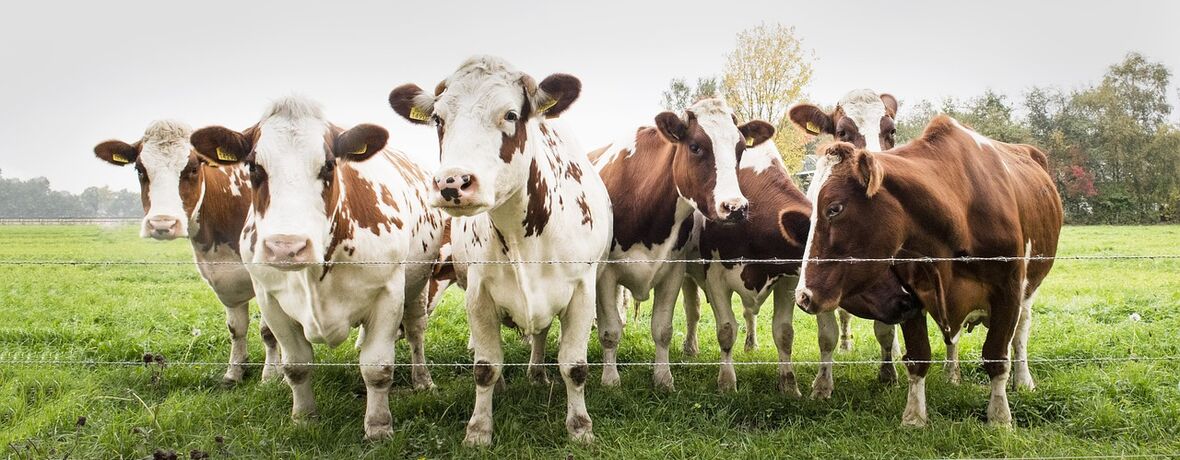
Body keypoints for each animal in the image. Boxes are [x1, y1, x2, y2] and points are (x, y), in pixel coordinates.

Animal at [389, 54, 613, 445]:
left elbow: (574, 366)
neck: (524, 234)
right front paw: (479, 428)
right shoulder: (478, 293)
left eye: (510, 114)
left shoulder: (582, 291)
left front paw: (580, 426)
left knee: (541, 334)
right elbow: (485, 366)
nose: (452, 182)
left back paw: (537, 373)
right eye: (438, 120)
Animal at [590, 99, 774, 389]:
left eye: (741, 149)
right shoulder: (606, 274)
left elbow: (662, 329)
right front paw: (610, 380)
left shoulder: (673, 270)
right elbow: (610, 330)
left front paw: (663, 378)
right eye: (695, 146)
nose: (735, 207)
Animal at [797, 116, 1066, 426]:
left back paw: (1022, 380)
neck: (957, 211)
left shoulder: (1008, 291)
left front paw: (999, 417)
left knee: (1021, 333)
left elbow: (997, 355)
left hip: (1029, 291)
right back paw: (952, 374)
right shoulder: (911, 295)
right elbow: (918, 357)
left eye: (834, 208)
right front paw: (914, 416)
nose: (803, 295)